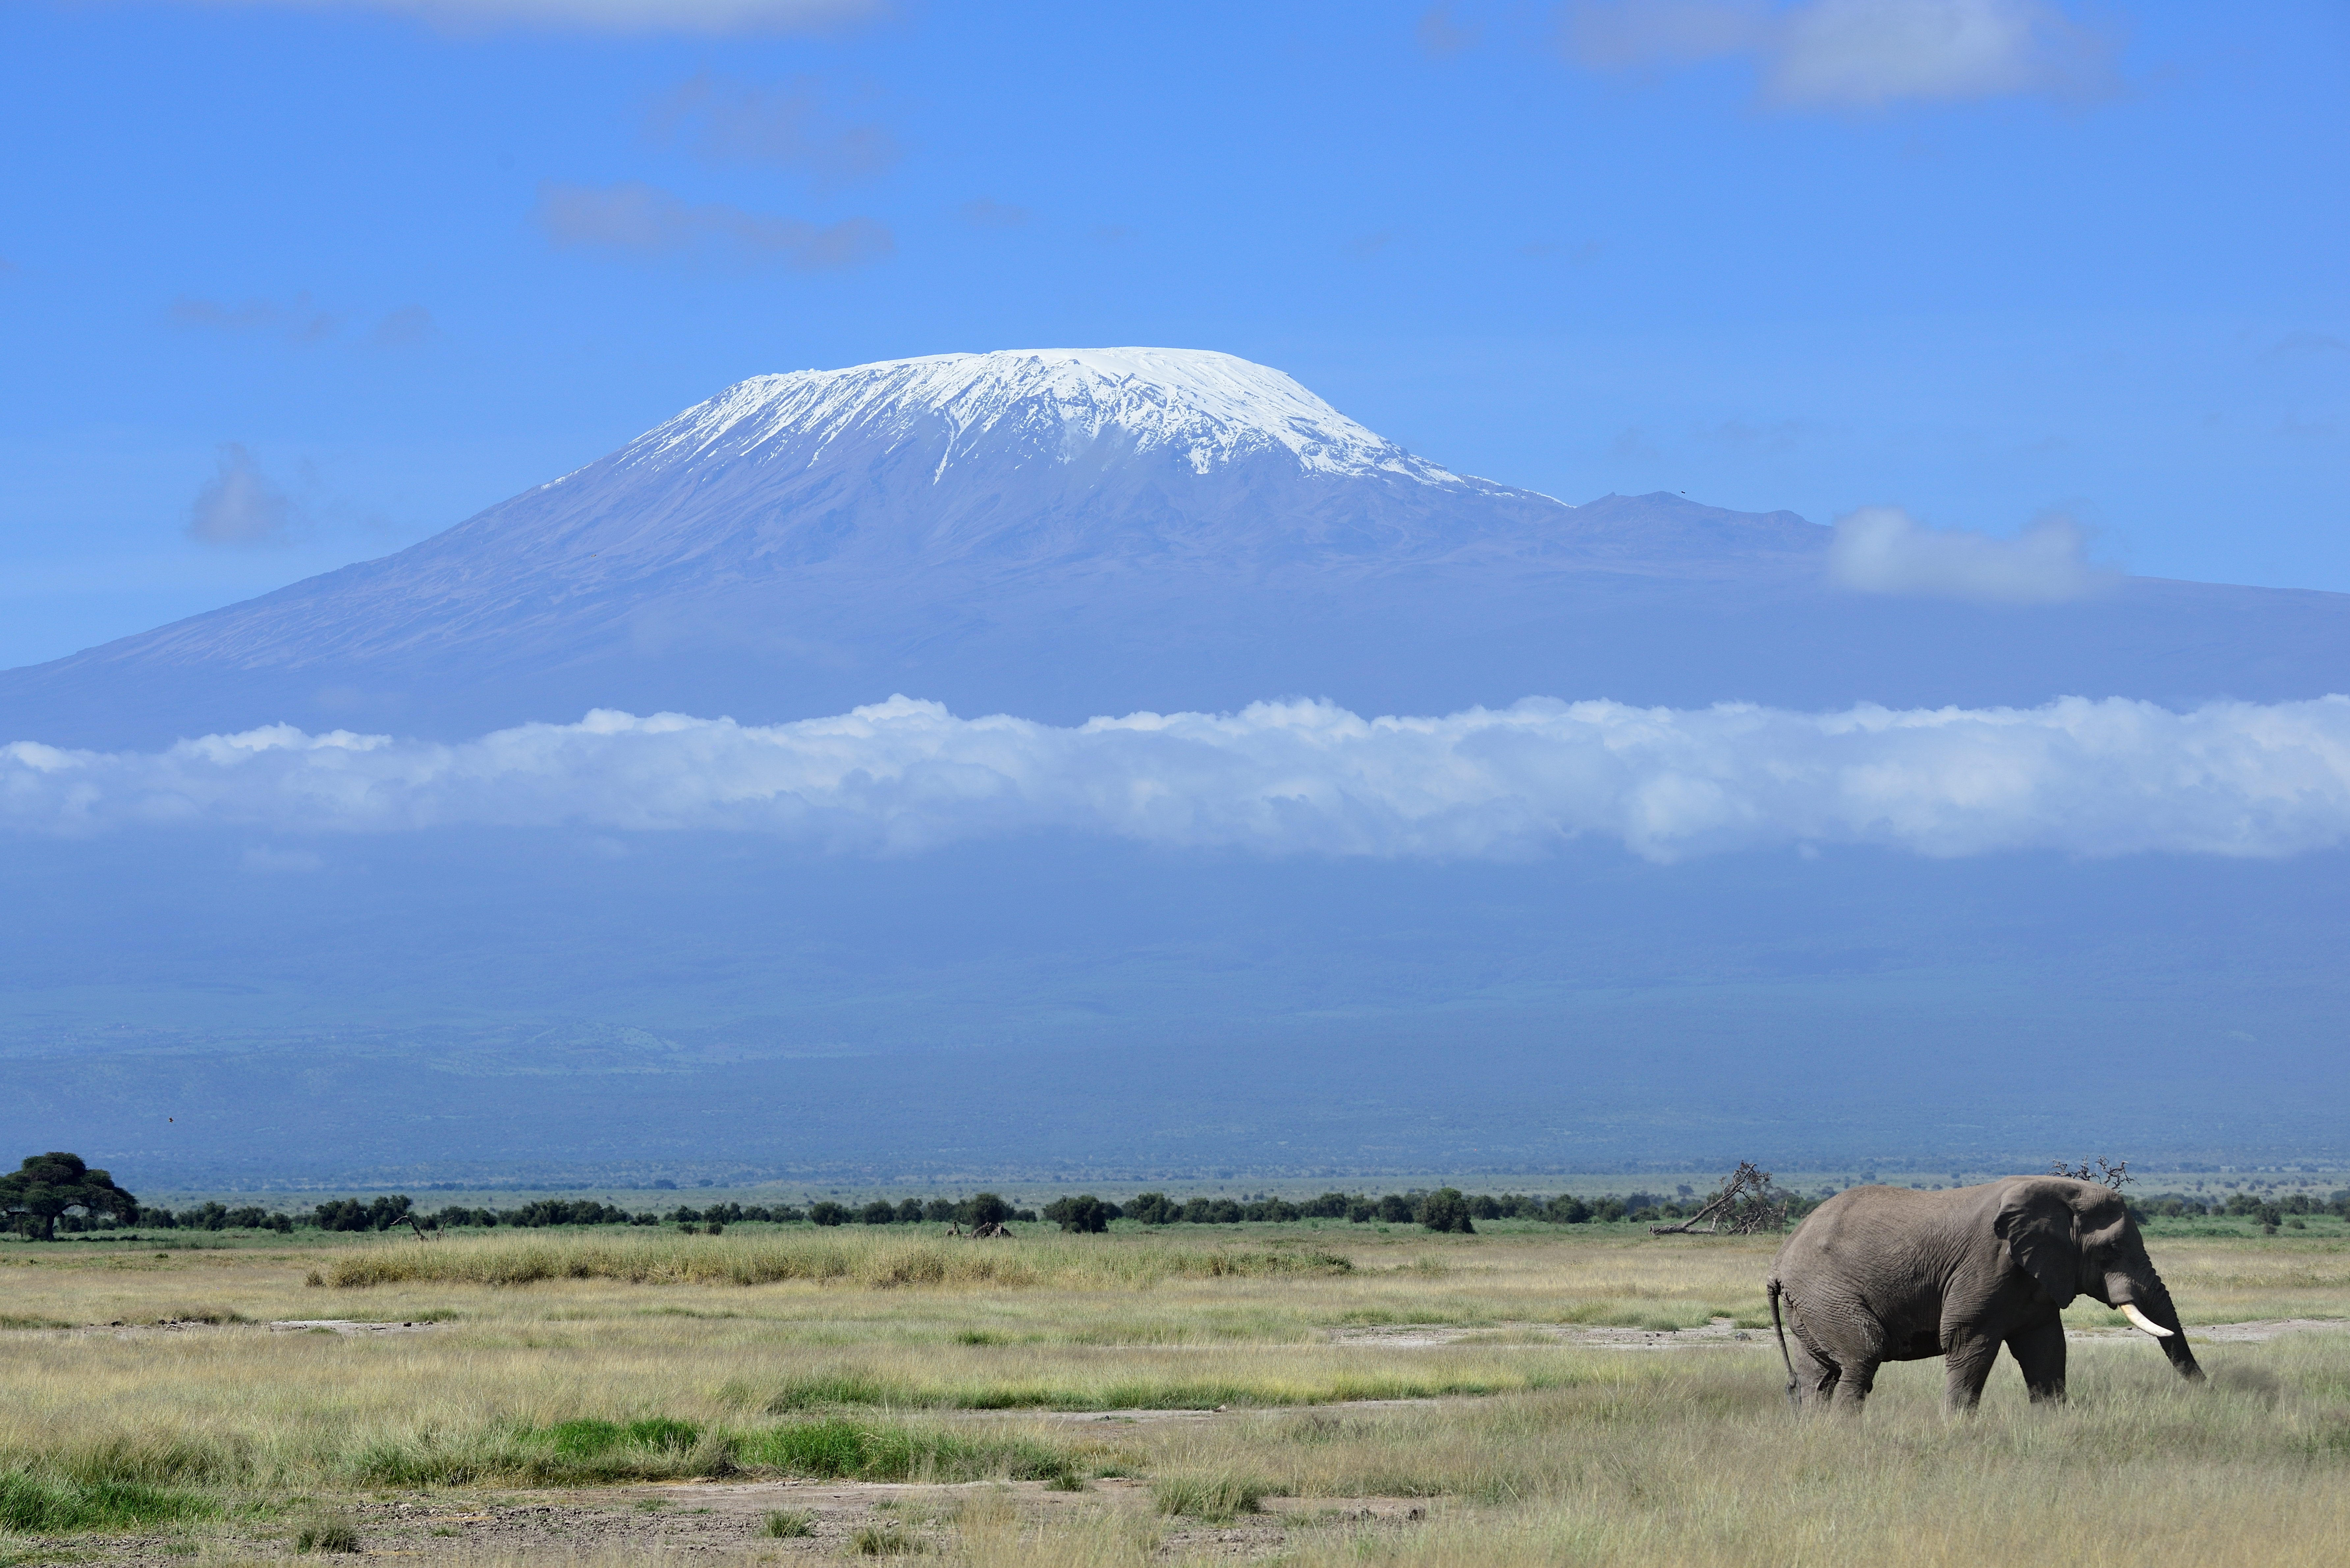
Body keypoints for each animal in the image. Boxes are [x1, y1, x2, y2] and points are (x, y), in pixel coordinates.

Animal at [1767, 1170, 2199, 1420]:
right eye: (2110, 1250)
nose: (2206, 1392)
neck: (2057, 1194)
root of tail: (1778, 1263)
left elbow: (2046, 1349)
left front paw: (2052, 1425)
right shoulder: (1987, 1262)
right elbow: (1967, 1339)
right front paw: (1959, 1432)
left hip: (1809, 1304)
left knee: (1817, 1375)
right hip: (1825, 1292)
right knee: (1861, 1357)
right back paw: (1846, 1433)